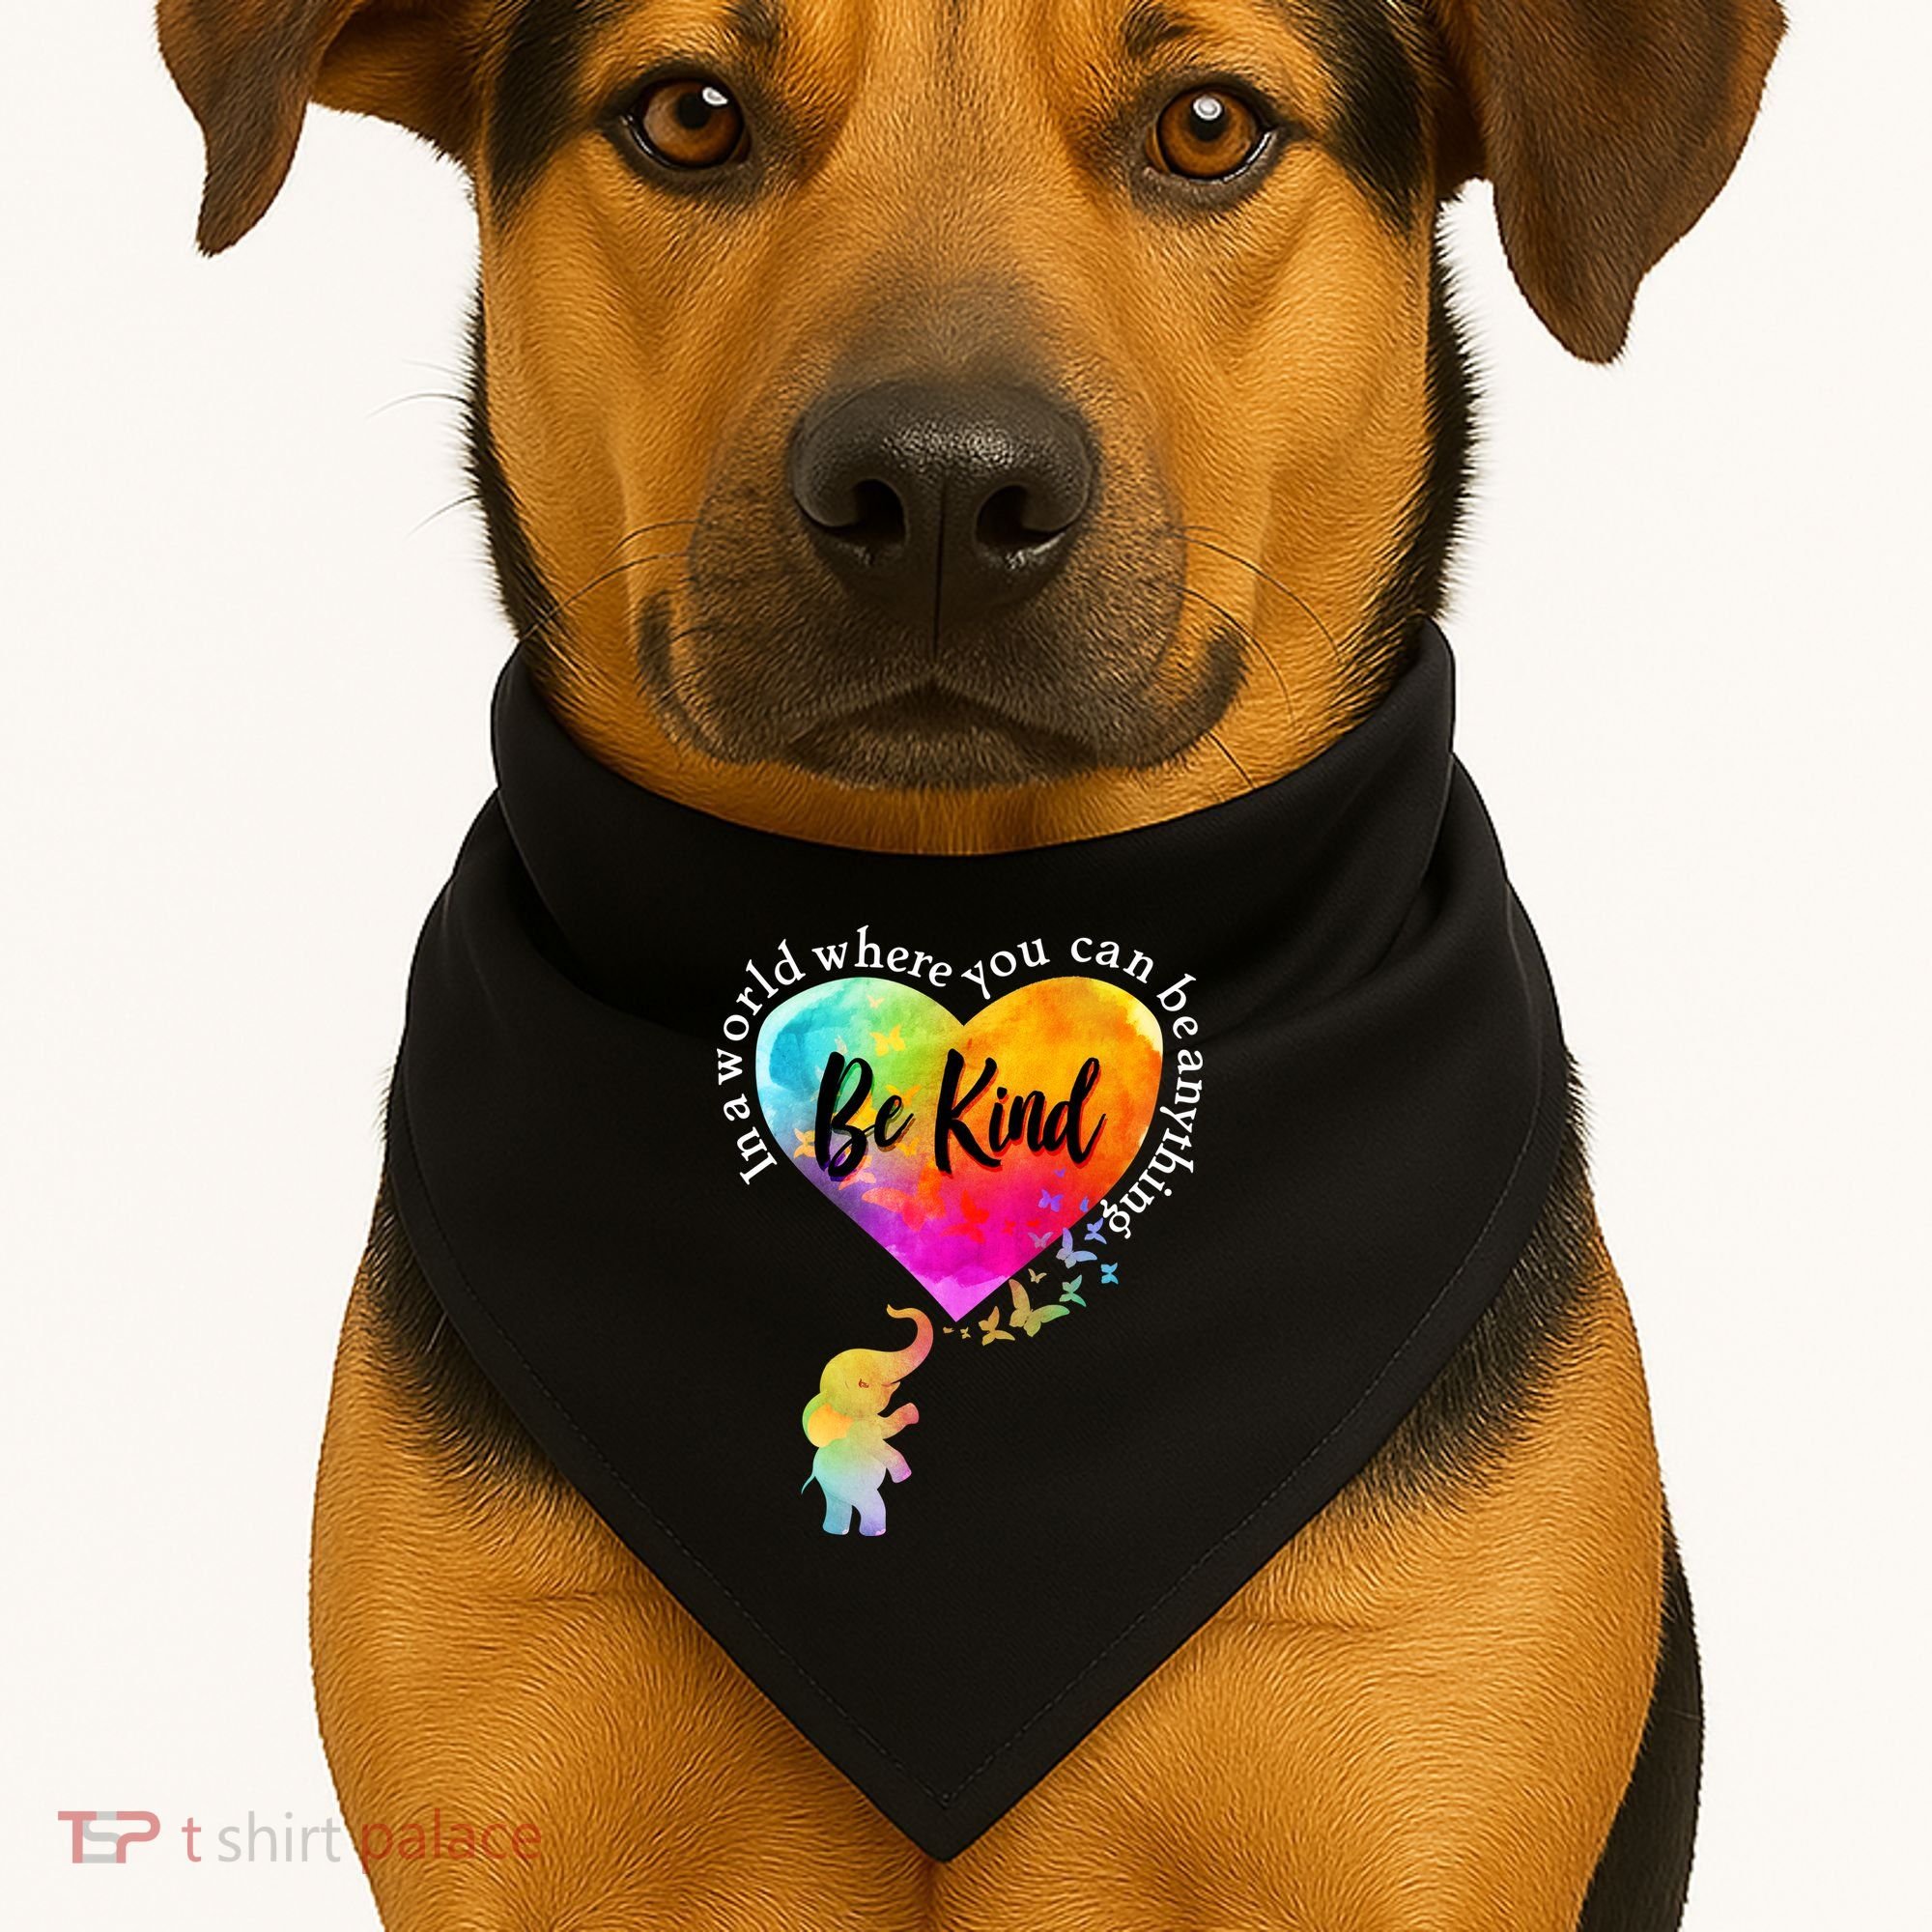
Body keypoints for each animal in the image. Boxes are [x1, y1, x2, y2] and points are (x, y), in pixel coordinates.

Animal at [800, 1305, 933, 1535]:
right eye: (863, 1384)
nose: (892, 1309)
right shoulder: (861, 1433)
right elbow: (881, 1445)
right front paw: (904, 1476)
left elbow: (888, 1427)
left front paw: (912, 1411)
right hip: (849, 1486)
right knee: (871, 1503)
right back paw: (875, 1532)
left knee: (839, 1507)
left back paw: (836, 1531)